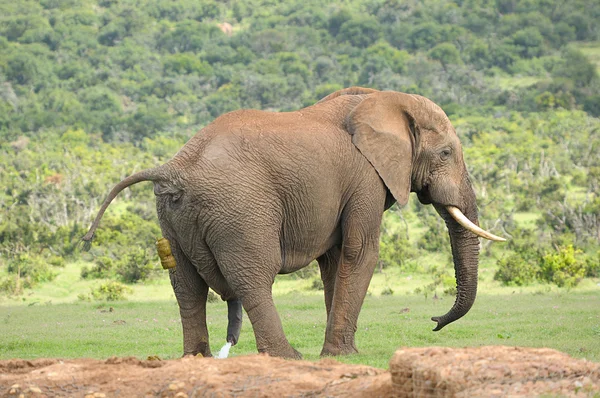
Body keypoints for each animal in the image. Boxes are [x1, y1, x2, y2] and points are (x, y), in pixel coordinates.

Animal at [82, 88, 504, 360]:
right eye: (446, 153)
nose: (433, 321)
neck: (383, 100)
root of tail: (175, 168)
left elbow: (335, 261)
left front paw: (337, 352)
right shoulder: (365, 178)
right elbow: (360, 252)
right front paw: (342, 355)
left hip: (172, 217)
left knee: (186, 285)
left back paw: (195, 359)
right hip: (241, 211)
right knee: (253, 278)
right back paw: (288, 356)